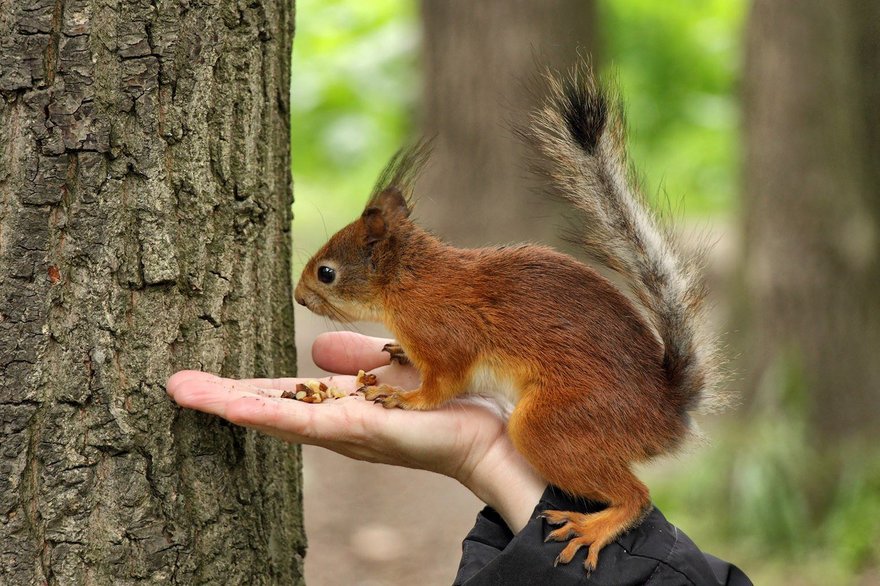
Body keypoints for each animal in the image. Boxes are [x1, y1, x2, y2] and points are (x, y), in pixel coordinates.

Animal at [296, 65, 720, 572]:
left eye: (326, 272)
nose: (298, 297)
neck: (410, 283)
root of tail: (665, 413)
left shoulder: (447, 335)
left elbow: (442, 385)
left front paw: (403, 396)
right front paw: (398, 354)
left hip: (555, 425)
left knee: (638, 495)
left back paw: (594, 527)